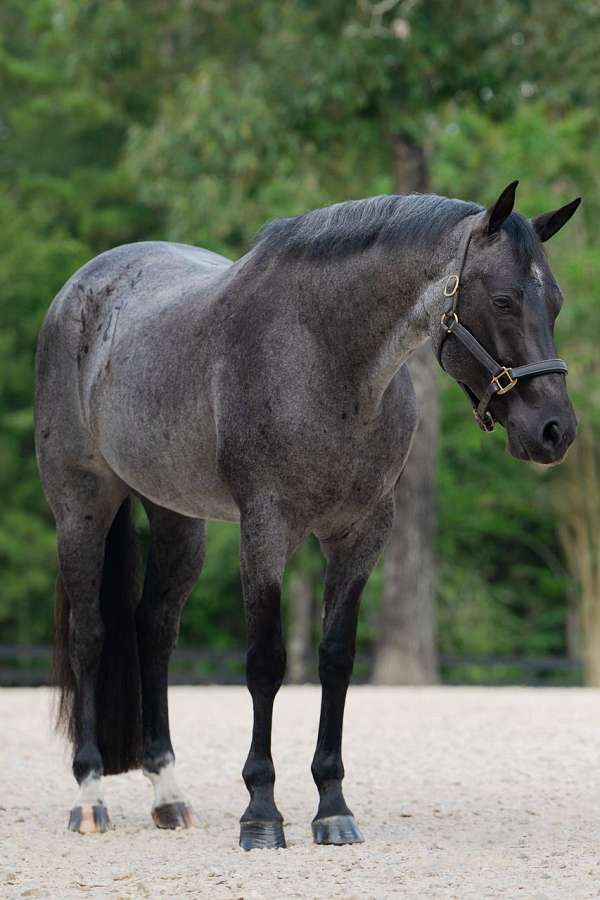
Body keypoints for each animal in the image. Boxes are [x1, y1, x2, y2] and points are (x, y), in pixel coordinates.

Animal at [34, 181, 580, 849]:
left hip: (175, 518)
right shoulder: (266, 530)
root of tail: (81, 288)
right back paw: (89, 797)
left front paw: (332, 806)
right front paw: (262, 814)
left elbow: (336, 659)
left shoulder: (361, 533)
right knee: (90, 635)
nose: (554, 431)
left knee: (154, 630)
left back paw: (169, 796)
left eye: (554, 302)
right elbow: (266, 662)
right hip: (81, 507)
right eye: (502, 299)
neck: (323, 354)